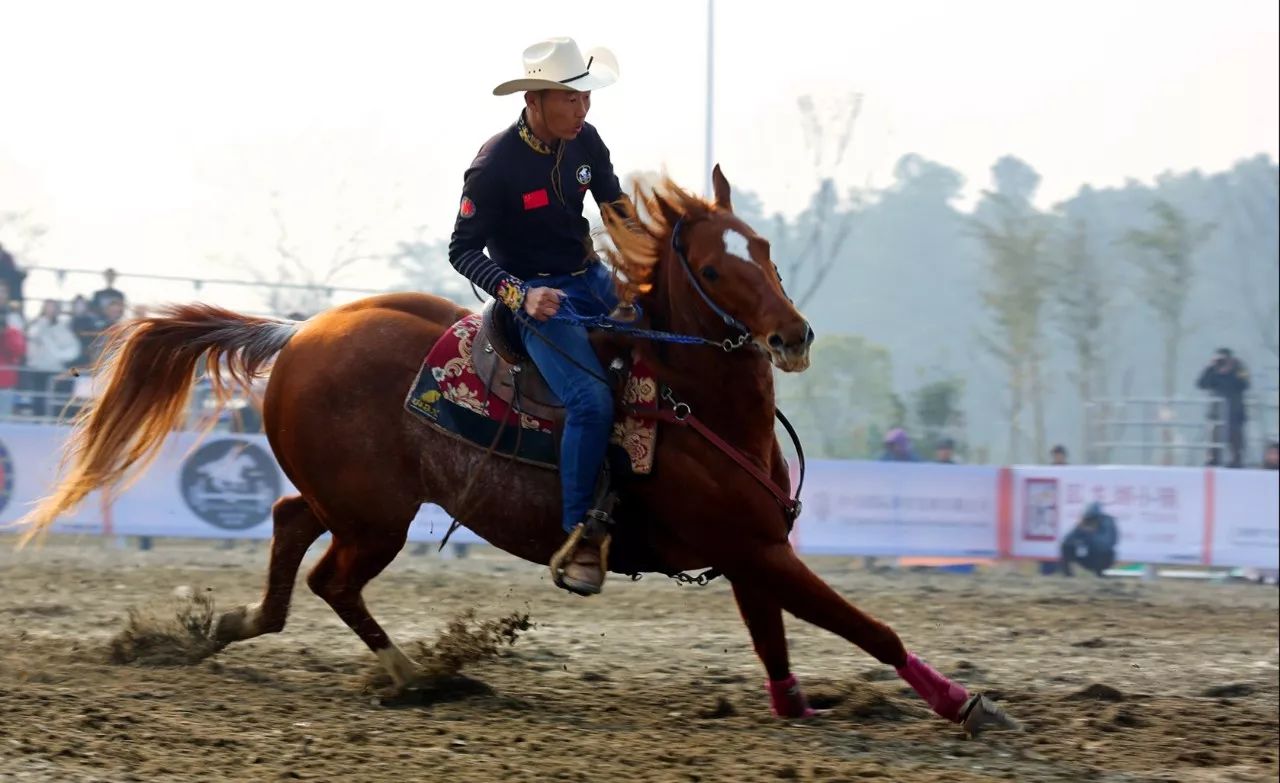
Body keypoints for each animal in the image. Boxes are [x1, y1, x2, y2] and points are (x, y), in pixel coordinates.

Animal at [10, 166, 1008, 731]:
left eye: (761, 245)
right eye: (713, 267)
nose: (793, 336)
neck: (695, 401)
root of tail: (297, 333)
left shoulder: (751, 552)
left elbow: (776, 643)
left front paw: (803, 704)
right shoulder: (755, 548)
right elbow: (868, 625)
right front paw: (962, 701)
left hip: (352, 503)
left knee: (291, 525)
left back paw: (236, 626)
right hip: (377, 517)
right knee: (332, 575)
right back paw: (412, 674)